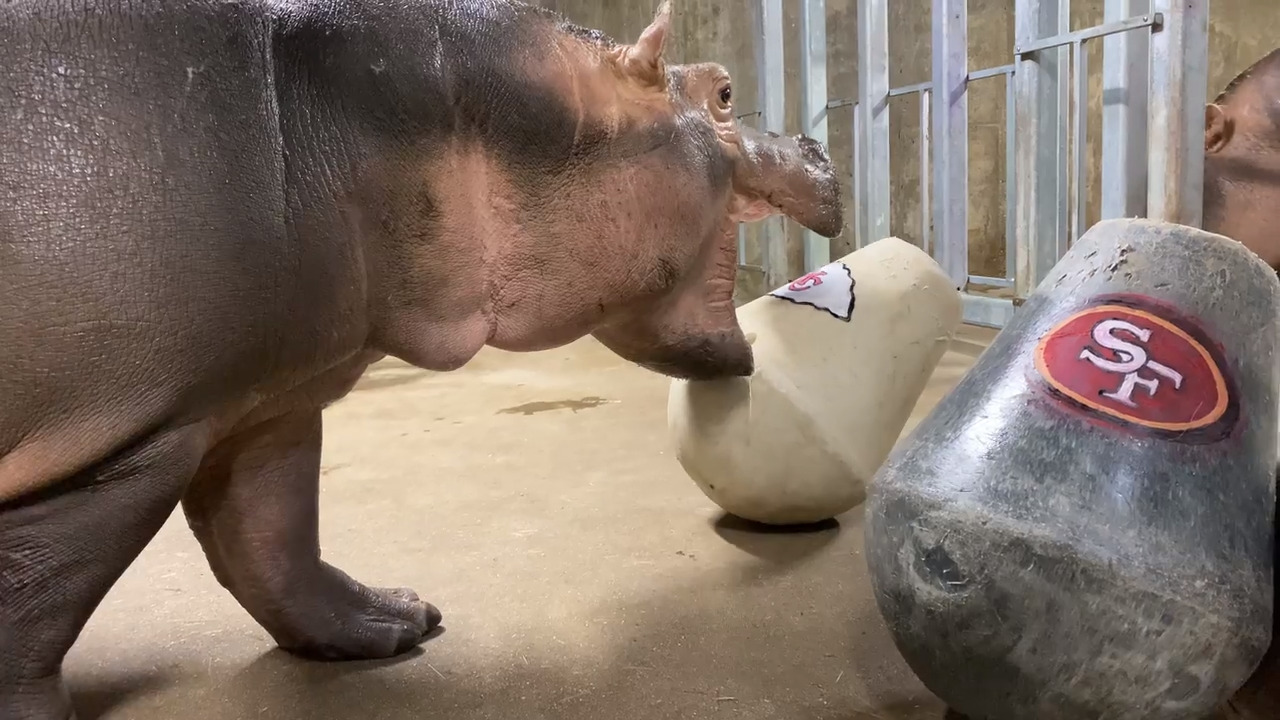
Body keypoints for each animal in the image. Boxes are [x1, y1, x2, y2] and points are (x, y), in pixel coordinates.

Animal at [0, 1, 843, 717]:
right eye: (724, 93)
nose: (811, 144)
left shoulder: (268, 396)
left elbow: (272, 537)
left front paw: (399, 622)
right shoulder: (135, 436)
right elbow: (37, 600)